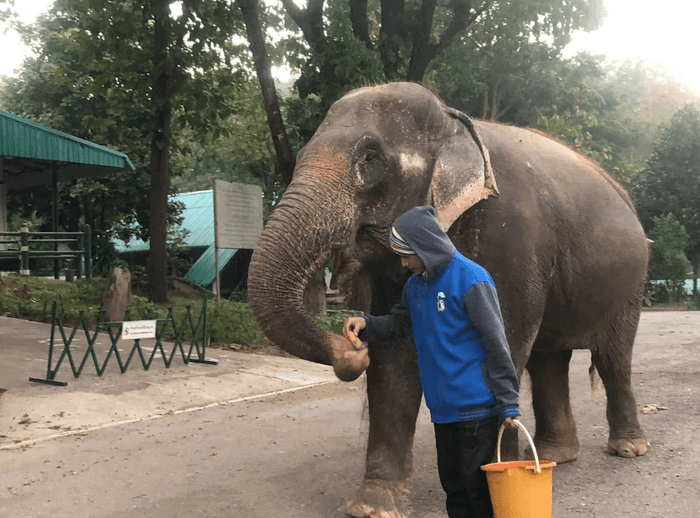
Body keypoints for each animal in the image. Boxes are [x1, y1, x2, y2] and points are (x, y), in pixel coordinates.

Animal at [247, 82, 649, 518]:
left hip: (631, 284)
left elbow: (502, 341)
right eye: (301, 155)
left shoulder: (512, 237)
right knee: (549, 359)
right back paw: (553, 456)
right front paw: (371, 508)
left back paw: (628, 449)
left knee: (612, 358)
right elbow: (392, 359)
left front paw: (498, 477)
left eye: (371, 158)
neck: (453, 122)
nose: (350, 350)